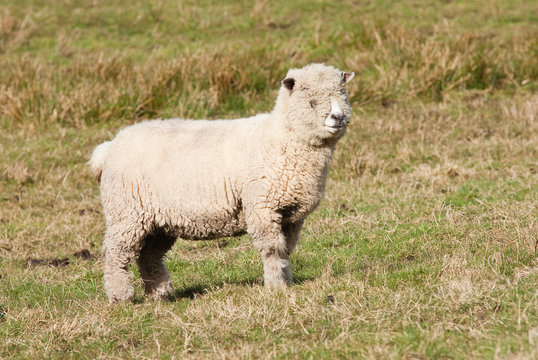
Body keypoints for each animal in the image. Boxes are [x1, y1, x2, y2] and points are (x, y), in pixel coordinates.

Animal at [89, 63, 352, 302]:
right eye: (311, 101)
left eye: (343, 94)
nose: (338, 117)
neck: (282, 137)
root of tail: (109, 147)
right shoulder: (262, 207)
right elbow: (271, 249)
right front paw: (276, 286)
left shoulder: (291, 215)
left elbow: (285, 249)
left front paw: (285, 280)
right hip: (126, 213)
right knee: (115, 254)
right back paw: (120, 296)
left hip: (158, 221)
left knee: (149, 256)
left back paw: (160, 294)